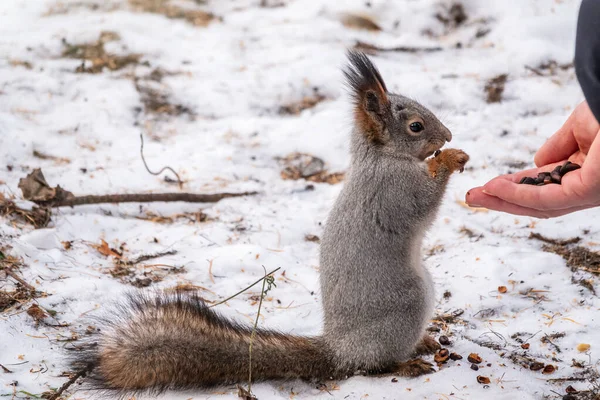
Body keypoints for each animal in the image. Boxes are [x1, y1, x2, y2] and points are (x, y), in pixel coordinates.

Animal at [71, 50, 468, 394]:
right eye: (416, 126)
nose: (448, 135)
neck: (381, 158)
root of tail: (339, 349)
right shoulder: (397, 190)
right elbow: (424, 202)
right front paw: (449, 158)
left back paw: (423, 343)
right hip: (405, 306)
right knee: (373, 366)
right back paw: (405, 363)